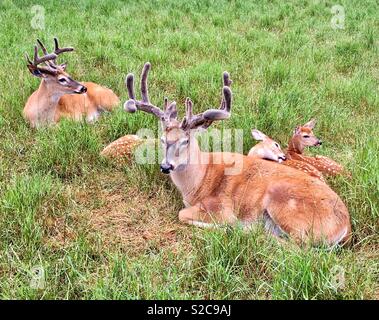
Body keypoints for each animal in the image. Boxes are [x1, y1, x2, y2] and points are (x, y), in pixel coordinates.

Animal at [124, 62, 354, 246]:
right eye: (163, 139)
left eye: (186, 140)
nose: (165, 166)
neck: (198, 181)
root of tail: (346, 228)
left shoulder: (219, 206)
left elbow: (183, 214)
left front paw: (229, 226)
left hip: (284, 204)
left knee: (299, 246)